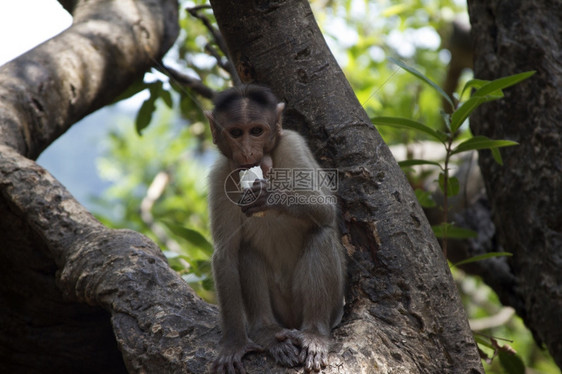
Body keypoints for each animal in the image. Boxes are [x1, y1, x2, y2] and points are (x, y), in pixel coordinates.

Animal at [206, 85, 344, 374]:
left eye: (257, 131)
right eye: (236, 133)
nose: (248, 152)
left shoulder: (293, 144)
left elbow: (326, 209)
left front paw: (271, 196)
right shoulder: (220, 174)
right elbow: (226, 255)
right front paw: (234, 343)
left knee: (321, 234)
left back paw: (315, 334)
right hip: (281, 312)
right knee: (245, 250)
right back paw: (267, 332)